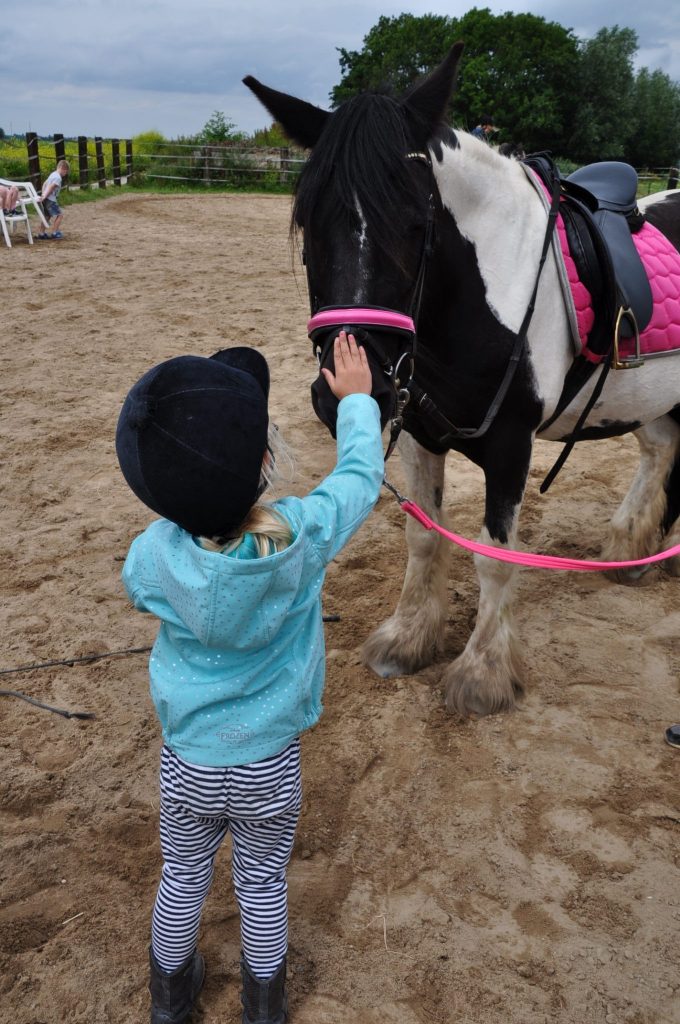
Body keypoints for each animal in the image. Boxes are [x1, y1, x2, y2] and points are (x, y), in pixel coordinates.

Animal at [244, 44, 680, 716]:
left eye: (417, 223)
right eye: (307, 221)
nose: (348, 384)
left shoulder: (510, 446)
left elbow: (496, 558)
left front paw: (483, 675)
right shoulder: (419, 432)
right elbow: (423, 538)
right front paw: (407, 640)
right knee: (660, 452)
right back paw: (631, 550)